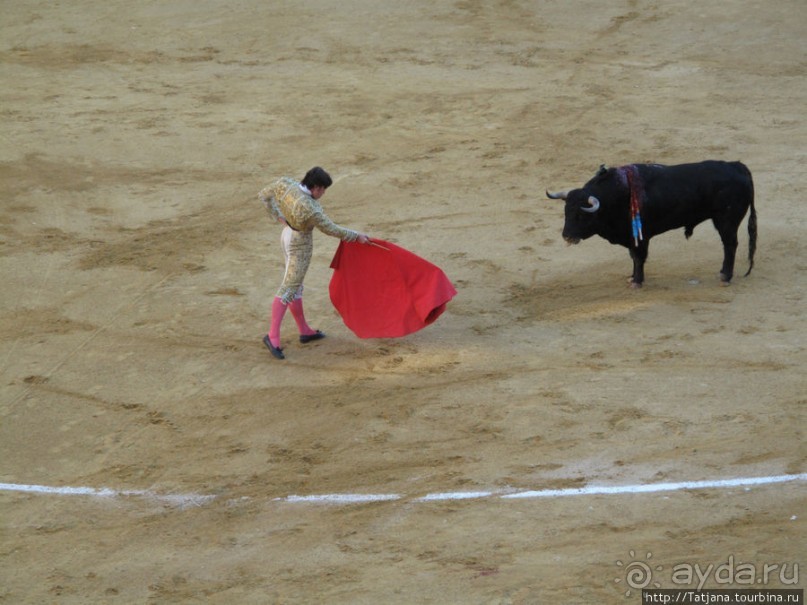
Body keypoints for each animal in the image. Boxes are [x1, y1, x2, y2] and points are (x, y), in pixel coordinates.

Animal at [548, 160, 760, 288]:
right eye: (566, 212)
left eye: (581, 215)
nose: (566, 236)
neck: (616, 194)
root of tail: (737, 165)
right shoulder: (631, 237)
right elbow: (633, 258)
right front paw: (632, 277)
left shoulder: (641, 238)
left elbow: (638, 258)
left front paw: (637, 282)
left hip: (726, 221)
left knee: (730, 245)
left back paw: (725, 276)